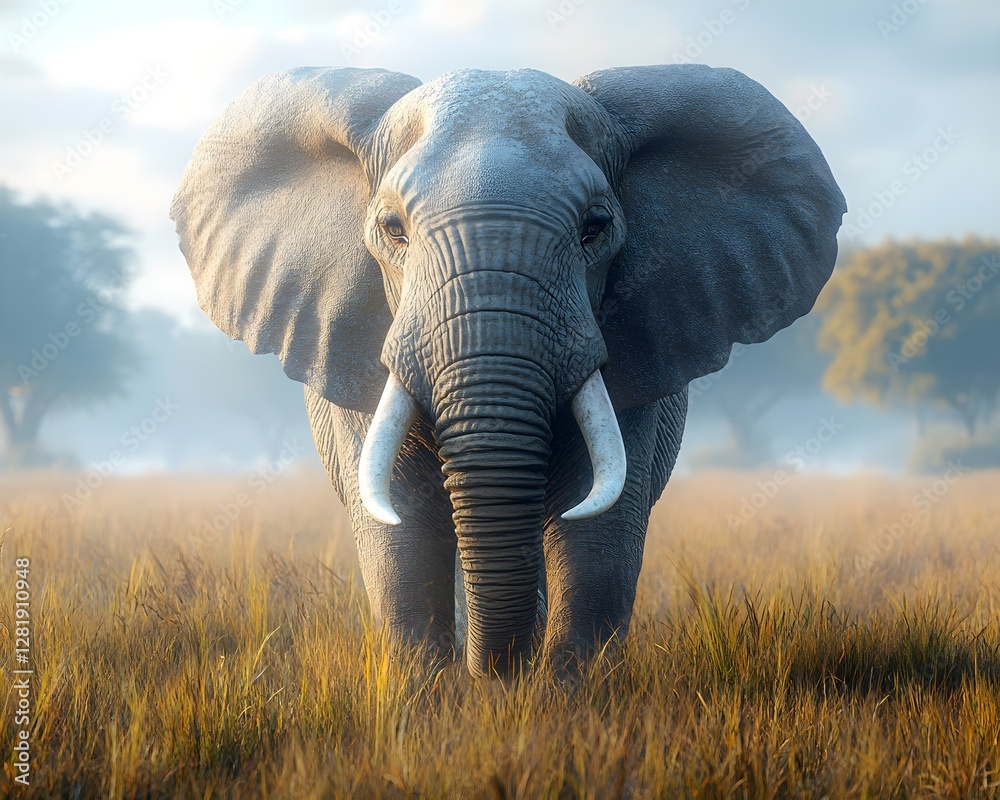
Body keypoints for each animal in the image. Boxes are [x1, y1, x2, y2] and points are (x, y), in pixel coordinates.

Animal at [171, 64, 845, 678]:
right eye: (392, 230)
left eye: (595, 228)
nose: (493, 672)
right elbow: (401, 526)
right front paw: (427, 699)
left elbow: (597, 523)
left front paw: (568, 699)